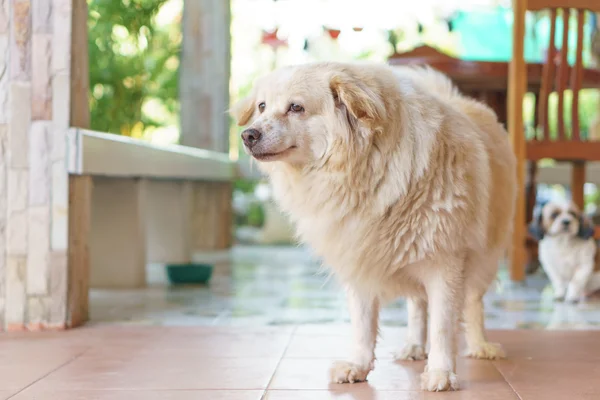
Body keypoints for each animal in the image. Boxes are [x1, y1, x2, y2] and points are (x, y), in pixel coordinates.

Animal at [230, 62, 516, 390]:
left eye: (296, 107)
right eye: (262, 106)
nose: (247, 135)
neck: (366, 168)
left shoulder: (446, 262)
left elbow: (443, 325)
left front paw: (441, 372)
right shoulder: (359, 261)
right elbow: (363, 325)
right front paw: (358, 365)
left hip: (483, 259)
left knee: (472, 302)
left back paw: (480, 345)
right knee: (417, 304)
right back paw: (414, 346)